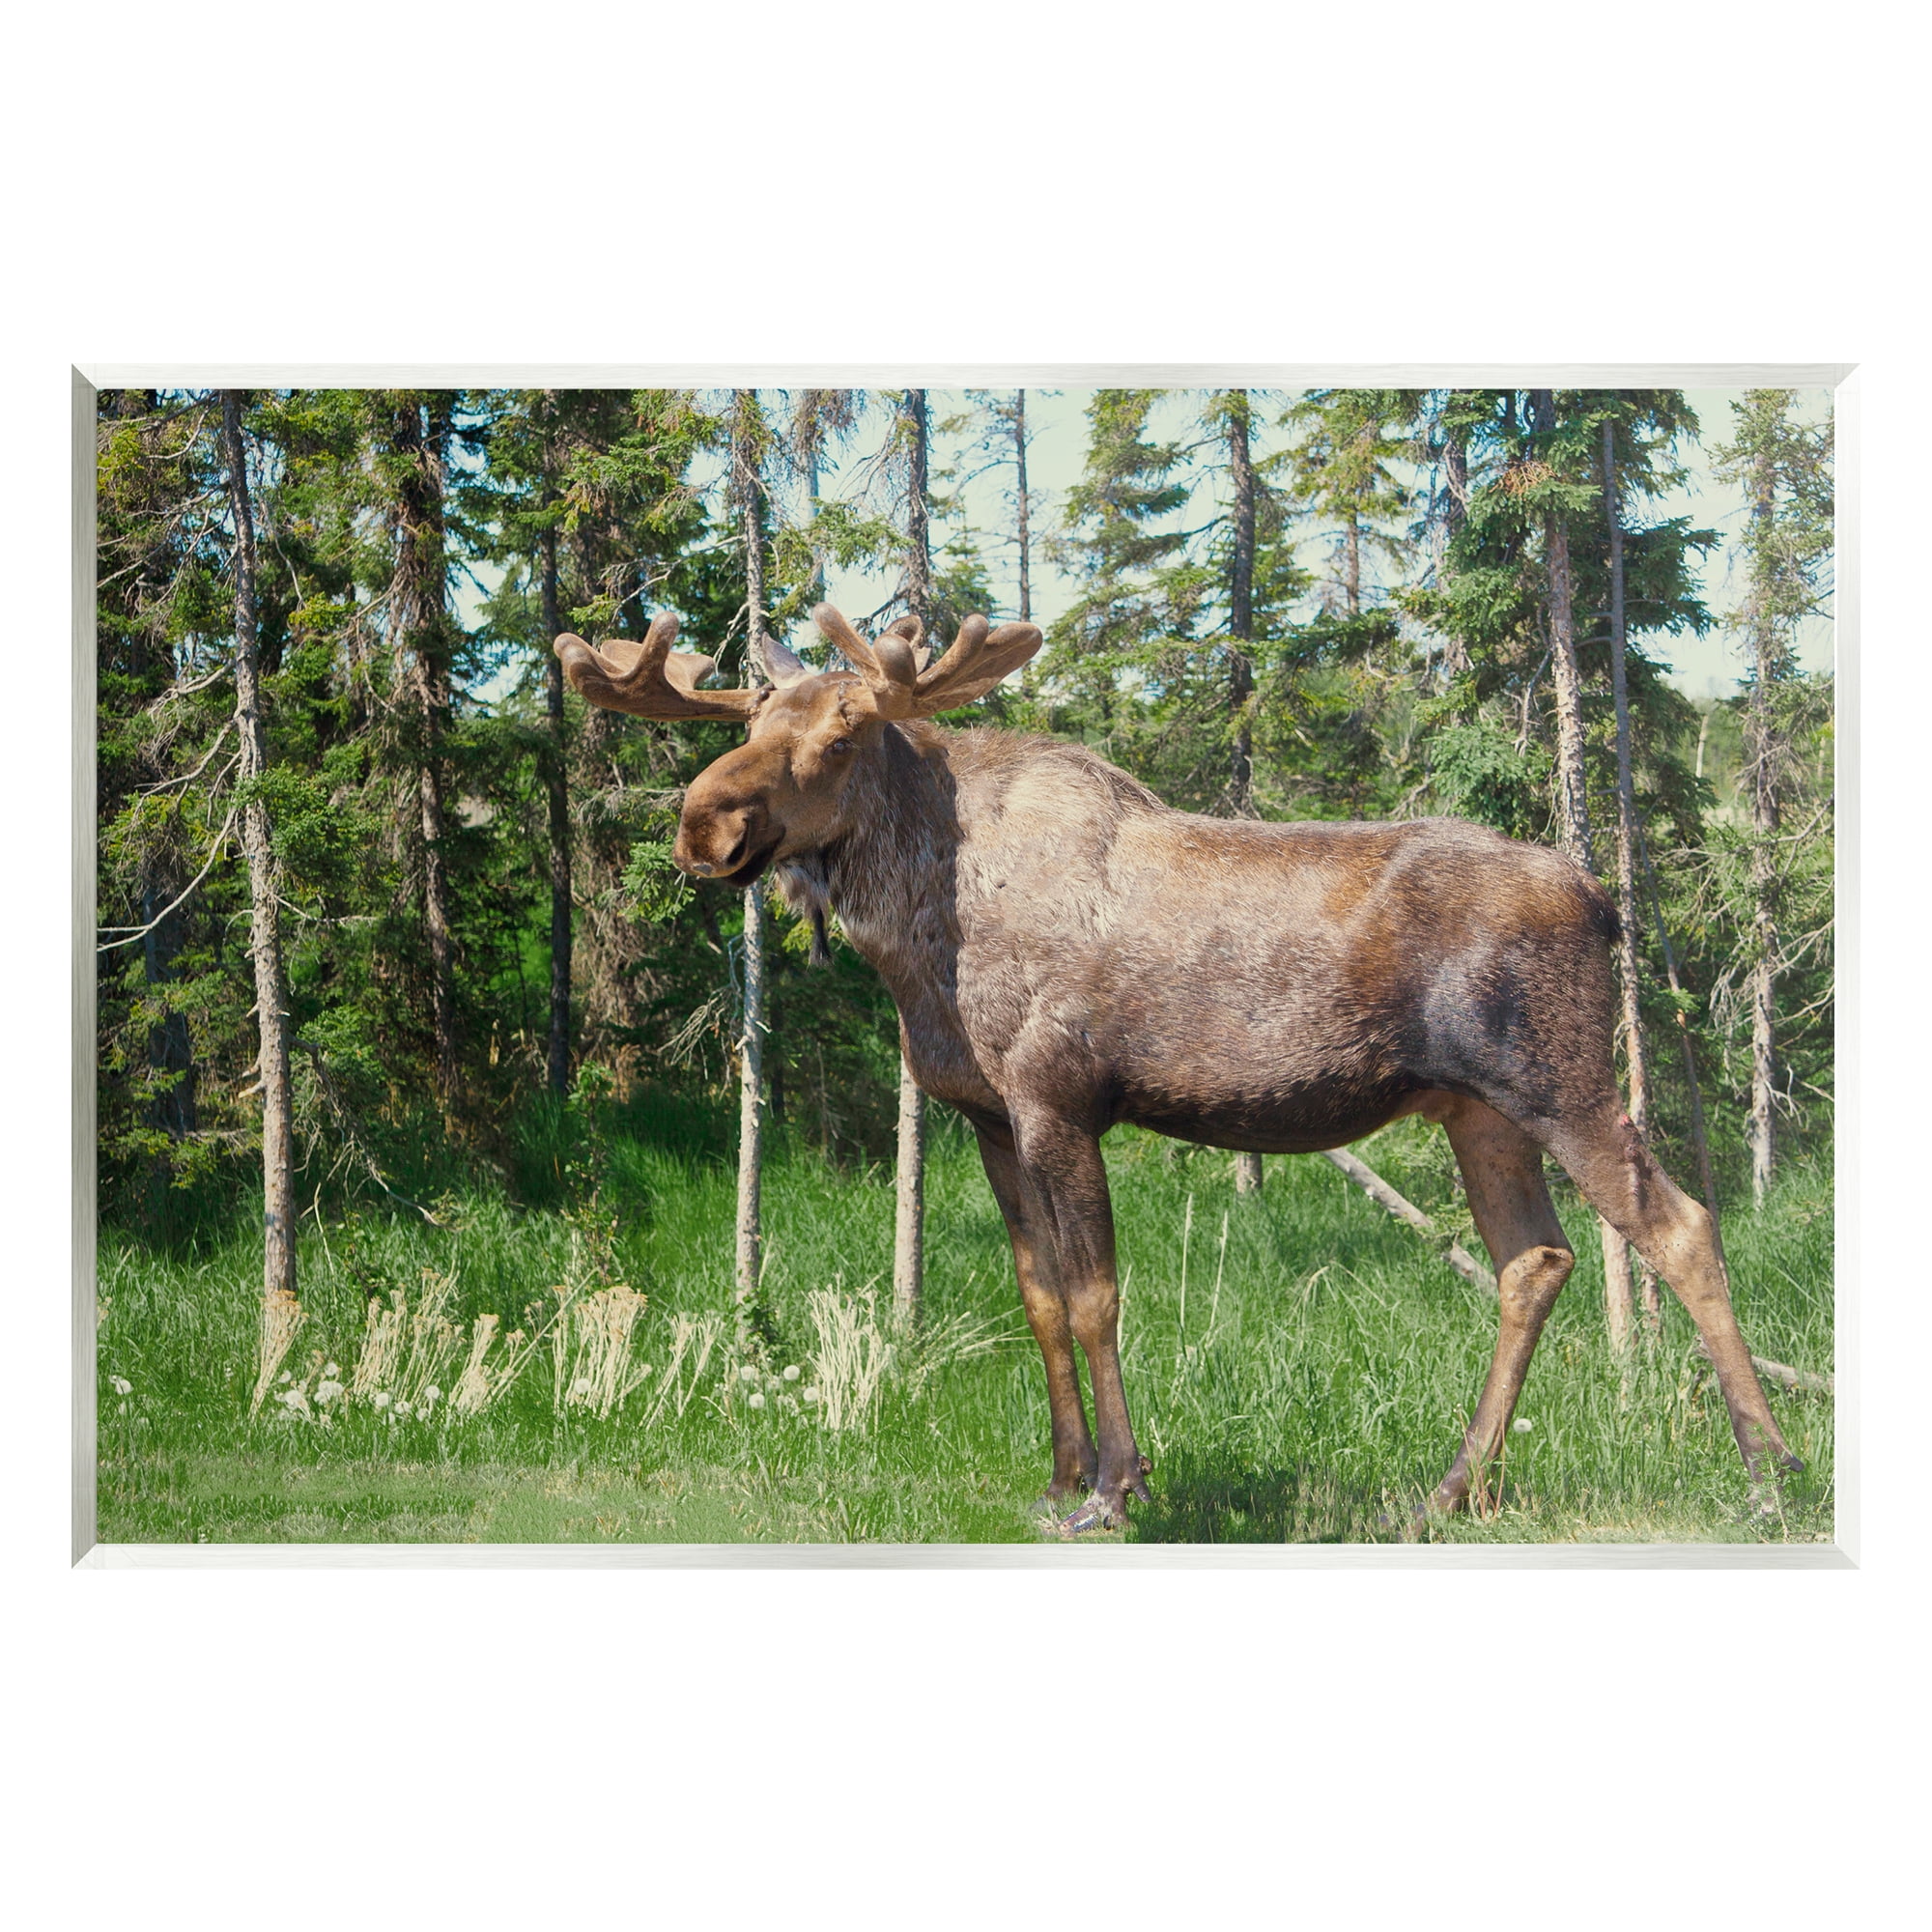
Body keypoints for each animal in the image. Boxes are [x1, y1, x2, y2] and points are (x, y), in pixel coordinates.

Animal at [554, 604, 1803, 1535]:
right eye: (752, 713)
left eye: (850, 729)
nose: (705, 824)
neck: (918, 949)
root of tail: (1605, 902)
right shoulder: (985, 1116)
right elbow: (1037, 1296)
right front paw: (1056, 1475)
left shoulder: (1058, 1100)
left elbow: (1095, 1295)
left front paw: (1115, 1486)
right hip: (1474, 1110)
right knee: (1533, 1259)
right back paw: (1453, 1487)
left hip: (1559, 1081)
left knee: (1679, 1225)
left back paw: (1767, 1468)